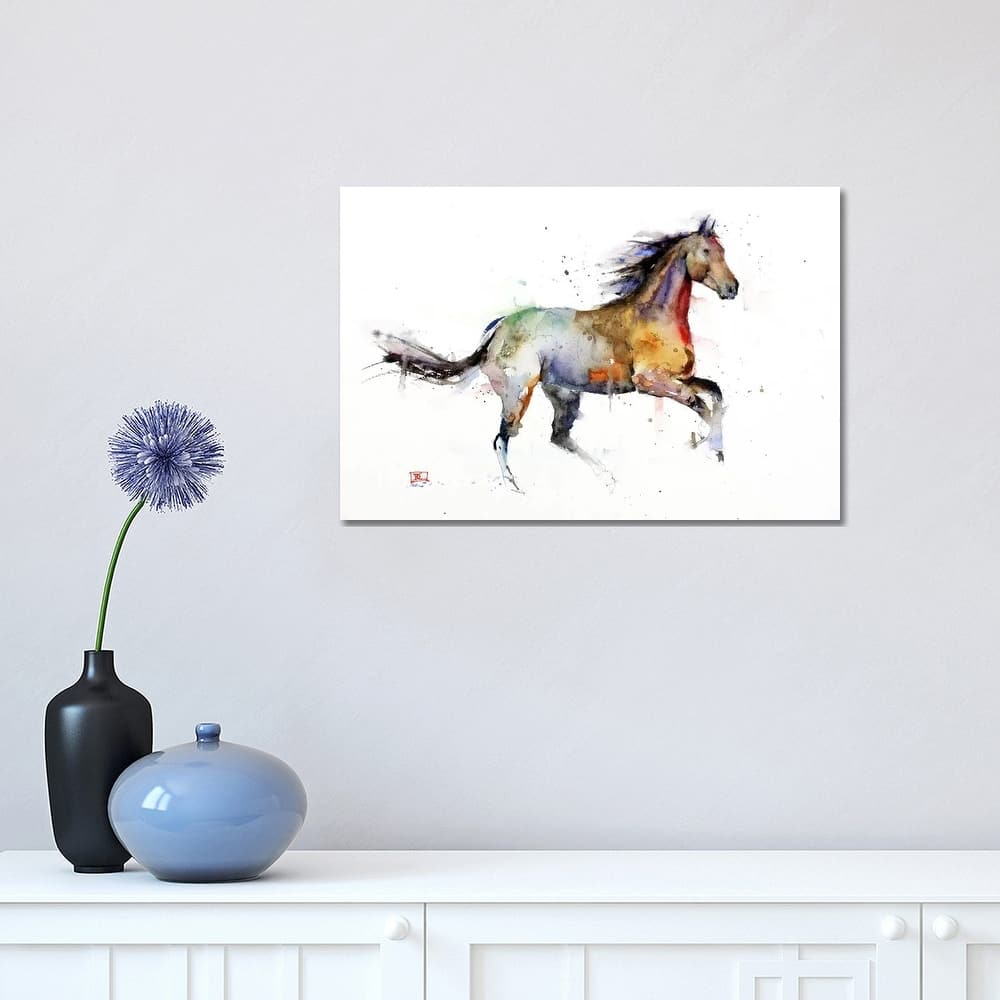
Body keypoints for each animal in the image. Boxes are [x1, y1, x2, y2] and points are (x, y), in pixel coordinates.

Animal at [373, 216, 739, 491]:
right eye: (707, 250)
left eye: (723, 250)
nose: (732, 288)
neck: (653, 316)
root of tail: (496, 332)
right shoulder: (650, 382)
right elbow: (702, 405)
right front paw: (708, 448)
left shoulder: (680, 378)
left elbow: (715, 394)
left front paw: (717, 452)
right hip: (519, 393)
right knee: (503, 438)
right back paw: (515, 488)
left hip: (564, 395)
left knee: (558, 437)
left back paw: (608, 478)